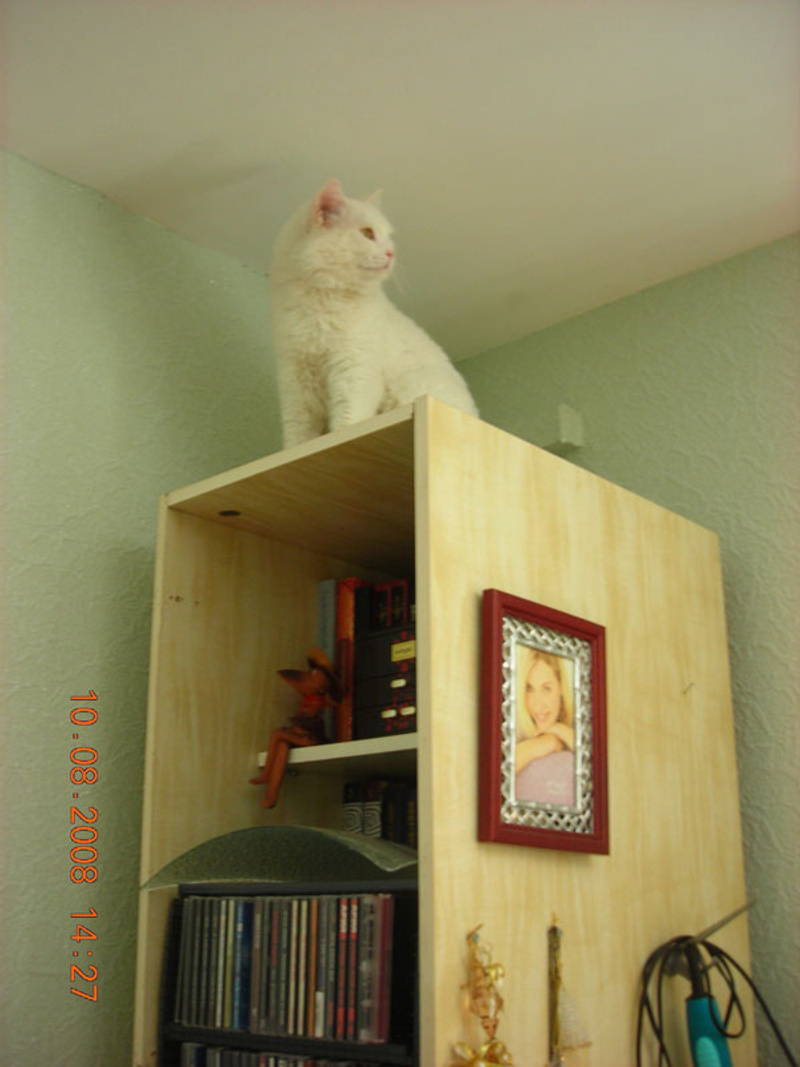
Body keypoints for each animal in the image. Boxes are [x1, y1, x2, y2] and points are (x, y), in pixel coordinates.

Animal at [269, 178, 478, 447]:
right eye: (367, 233)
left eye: (388, 238)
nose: (391, 253)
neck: (320, 299)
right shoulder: (294, 376)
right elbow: (296, 435)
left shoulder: (354, 368)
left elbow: (347, 420)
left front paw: (340, 438)